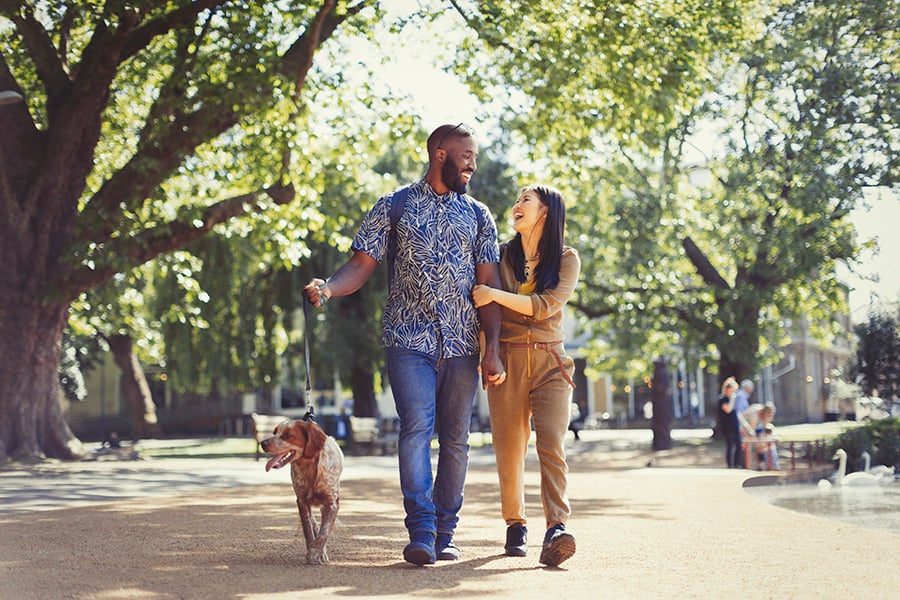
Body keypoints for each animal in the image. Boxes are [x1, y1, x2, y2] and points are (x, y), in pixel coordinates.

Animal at [264, 420, 344, 564]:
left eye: (287, 435)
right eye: (274, 432)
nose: (263, 443)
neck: (309, 467)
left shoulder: (332, 503)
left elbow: (324, 532)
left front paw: (316, 553)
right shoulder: (301, 501)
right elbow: (308, 529)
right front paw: (313, 552)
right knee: (314, 523)